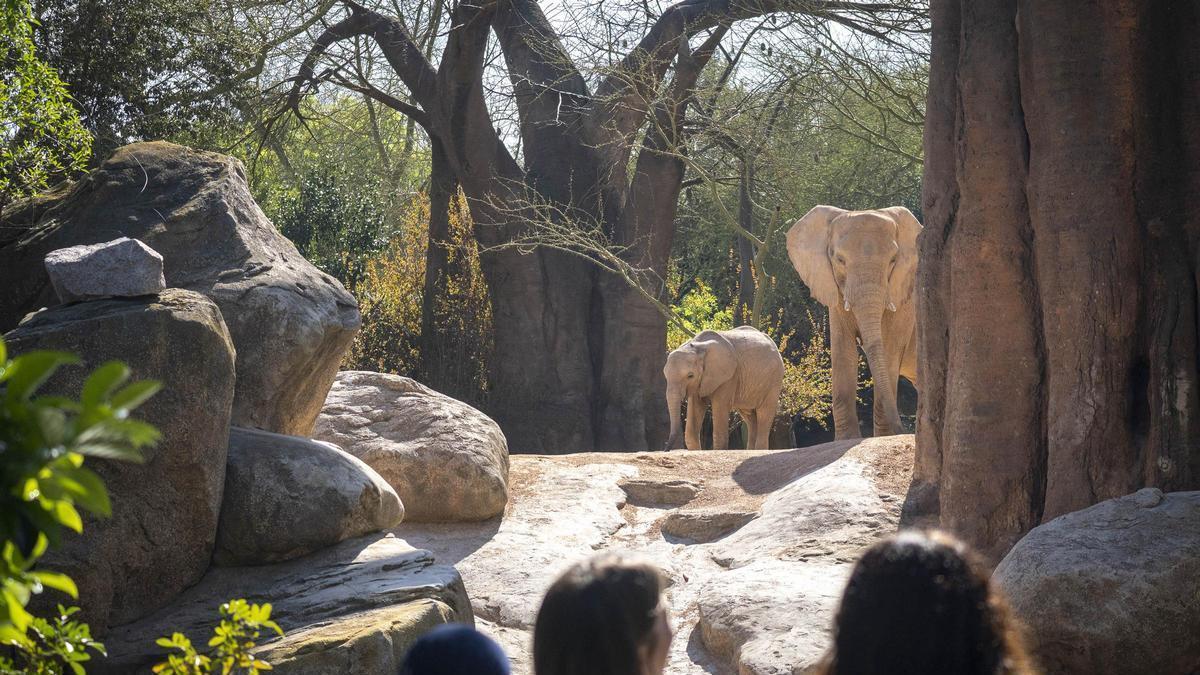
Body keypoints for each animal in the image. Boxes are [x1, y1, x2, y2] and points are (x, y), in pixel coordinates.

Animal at [786, 205, 921, 439]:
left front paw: (882, 438)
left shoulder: (903, 301)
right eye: (839, 259)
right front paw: (847, 440)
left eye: (893, 260)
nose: (902, 431)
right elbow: (844, 354)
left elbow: (888, 354)